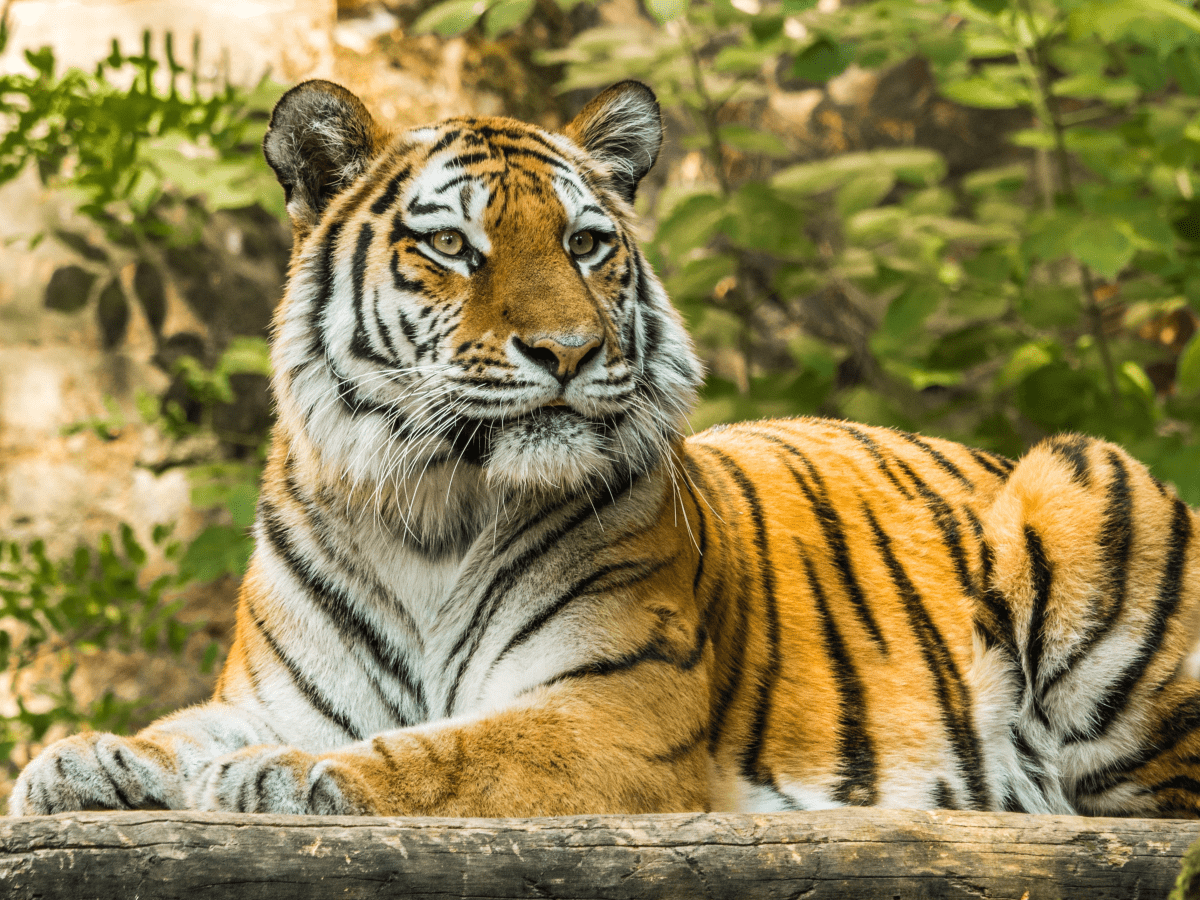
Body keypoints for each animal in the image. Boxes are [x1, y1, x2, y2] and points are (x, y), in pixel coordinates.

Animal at [10, 78, 1200, 820]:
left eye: (586, 243)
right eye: (454, 245)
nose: (569, 351)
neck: (430, 508)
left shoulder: (617, 705)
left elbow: (458, 747)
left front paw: (287, 777)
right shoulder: (280, 690)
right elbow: (186, 729)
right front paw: (84, 759)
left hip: (1076, 478)